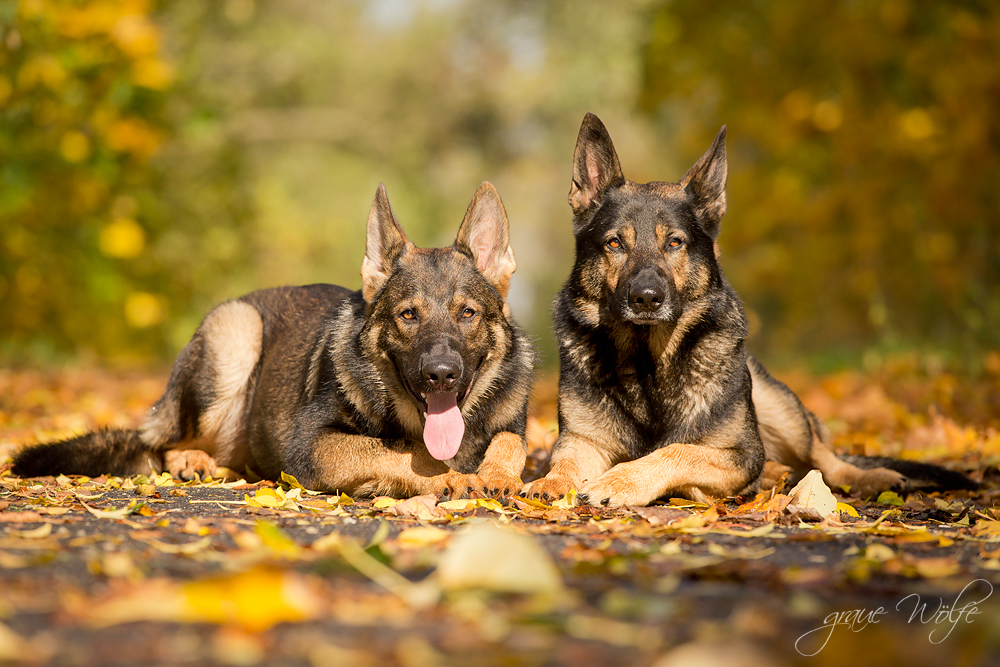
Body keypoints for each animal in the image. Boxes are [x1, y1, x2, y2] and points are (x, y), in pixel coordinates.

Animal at [11, 183, 536, 500]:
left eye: (467, 314)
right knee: (161, 444)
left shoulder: (512, 427)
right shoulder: (314, 445)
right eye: (408, 315)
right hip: (236, 331)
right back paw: (190, 460)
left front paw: (495, 476)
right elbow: (405, 453)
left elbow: (511, 443)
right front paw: (455, 479)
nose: (441, 374)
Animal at [520, 115, 972, 508]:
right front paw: (549, 482)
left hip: (782, 410)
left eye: (675, 243)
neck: (650, 364)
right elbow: (564, 462)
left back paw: (871, 477)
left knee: (826, 460)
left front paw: (621, 481)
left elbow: (678, 450)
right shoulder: (583, 442)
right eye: (614, 243)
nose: (646, 298)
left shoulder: (739, 451)